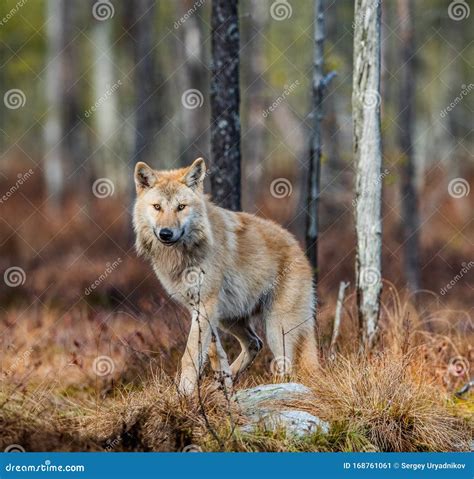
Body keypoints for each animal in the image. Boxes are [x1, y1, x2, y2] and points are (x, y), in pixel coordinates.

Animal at [132, 159, 318, 396]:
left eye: (181, 207)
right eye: (157, 207)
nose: (166, 233)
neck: (183, 255)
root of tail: (299, 250)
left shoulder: (206, 305)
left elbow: (189, 356)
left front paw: (184, 394)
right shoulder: (200, 310)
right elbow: (214, 352)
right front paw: (219, 389)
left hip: (277, 328)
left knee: (285, 365)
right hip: (229, 319)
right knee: (254, 344)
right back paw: (222, 385)